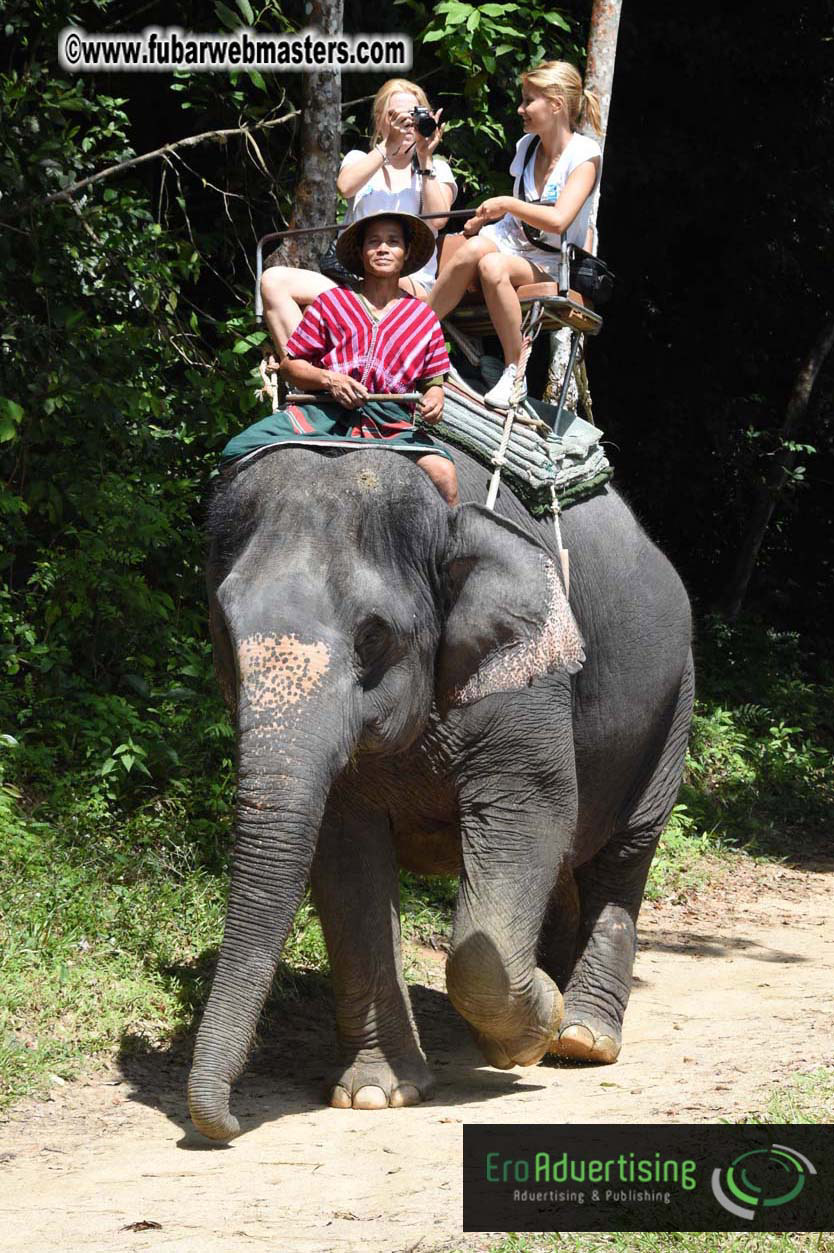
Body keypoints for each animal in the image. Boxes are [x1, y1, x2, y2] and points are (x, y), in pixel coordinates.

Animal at [188, 439, 693, 1141]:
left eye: (373, 635)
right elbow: (347, 860)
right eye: (225, 631)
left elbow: (533, 814)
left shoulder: (528, 686)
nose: (232, 1122)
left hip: (672, 707)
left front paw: (528, 1031)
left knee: (621, 858)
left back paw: (581, 1038)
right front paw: (376, 1094)